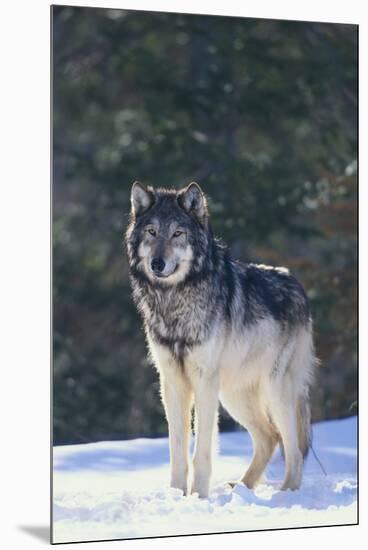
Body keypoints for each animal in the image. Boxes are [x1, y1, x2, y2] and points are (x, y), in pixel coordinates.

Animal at [126, 182, 316, 500]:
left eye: (177, 233)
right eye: (152, 232)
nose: (157, 263)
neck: (174, 301)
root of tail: (297, 285)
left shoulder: (204, 381)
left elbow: (201, 452)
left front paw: (199, 497)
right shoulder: (172, 382)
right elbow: (177, 450)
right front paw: (178, 495)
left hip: (274, 391)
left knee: (294, 450)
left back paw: (286, 494)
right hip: (233, 396)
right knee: (269, 438)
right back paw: (241, 488)